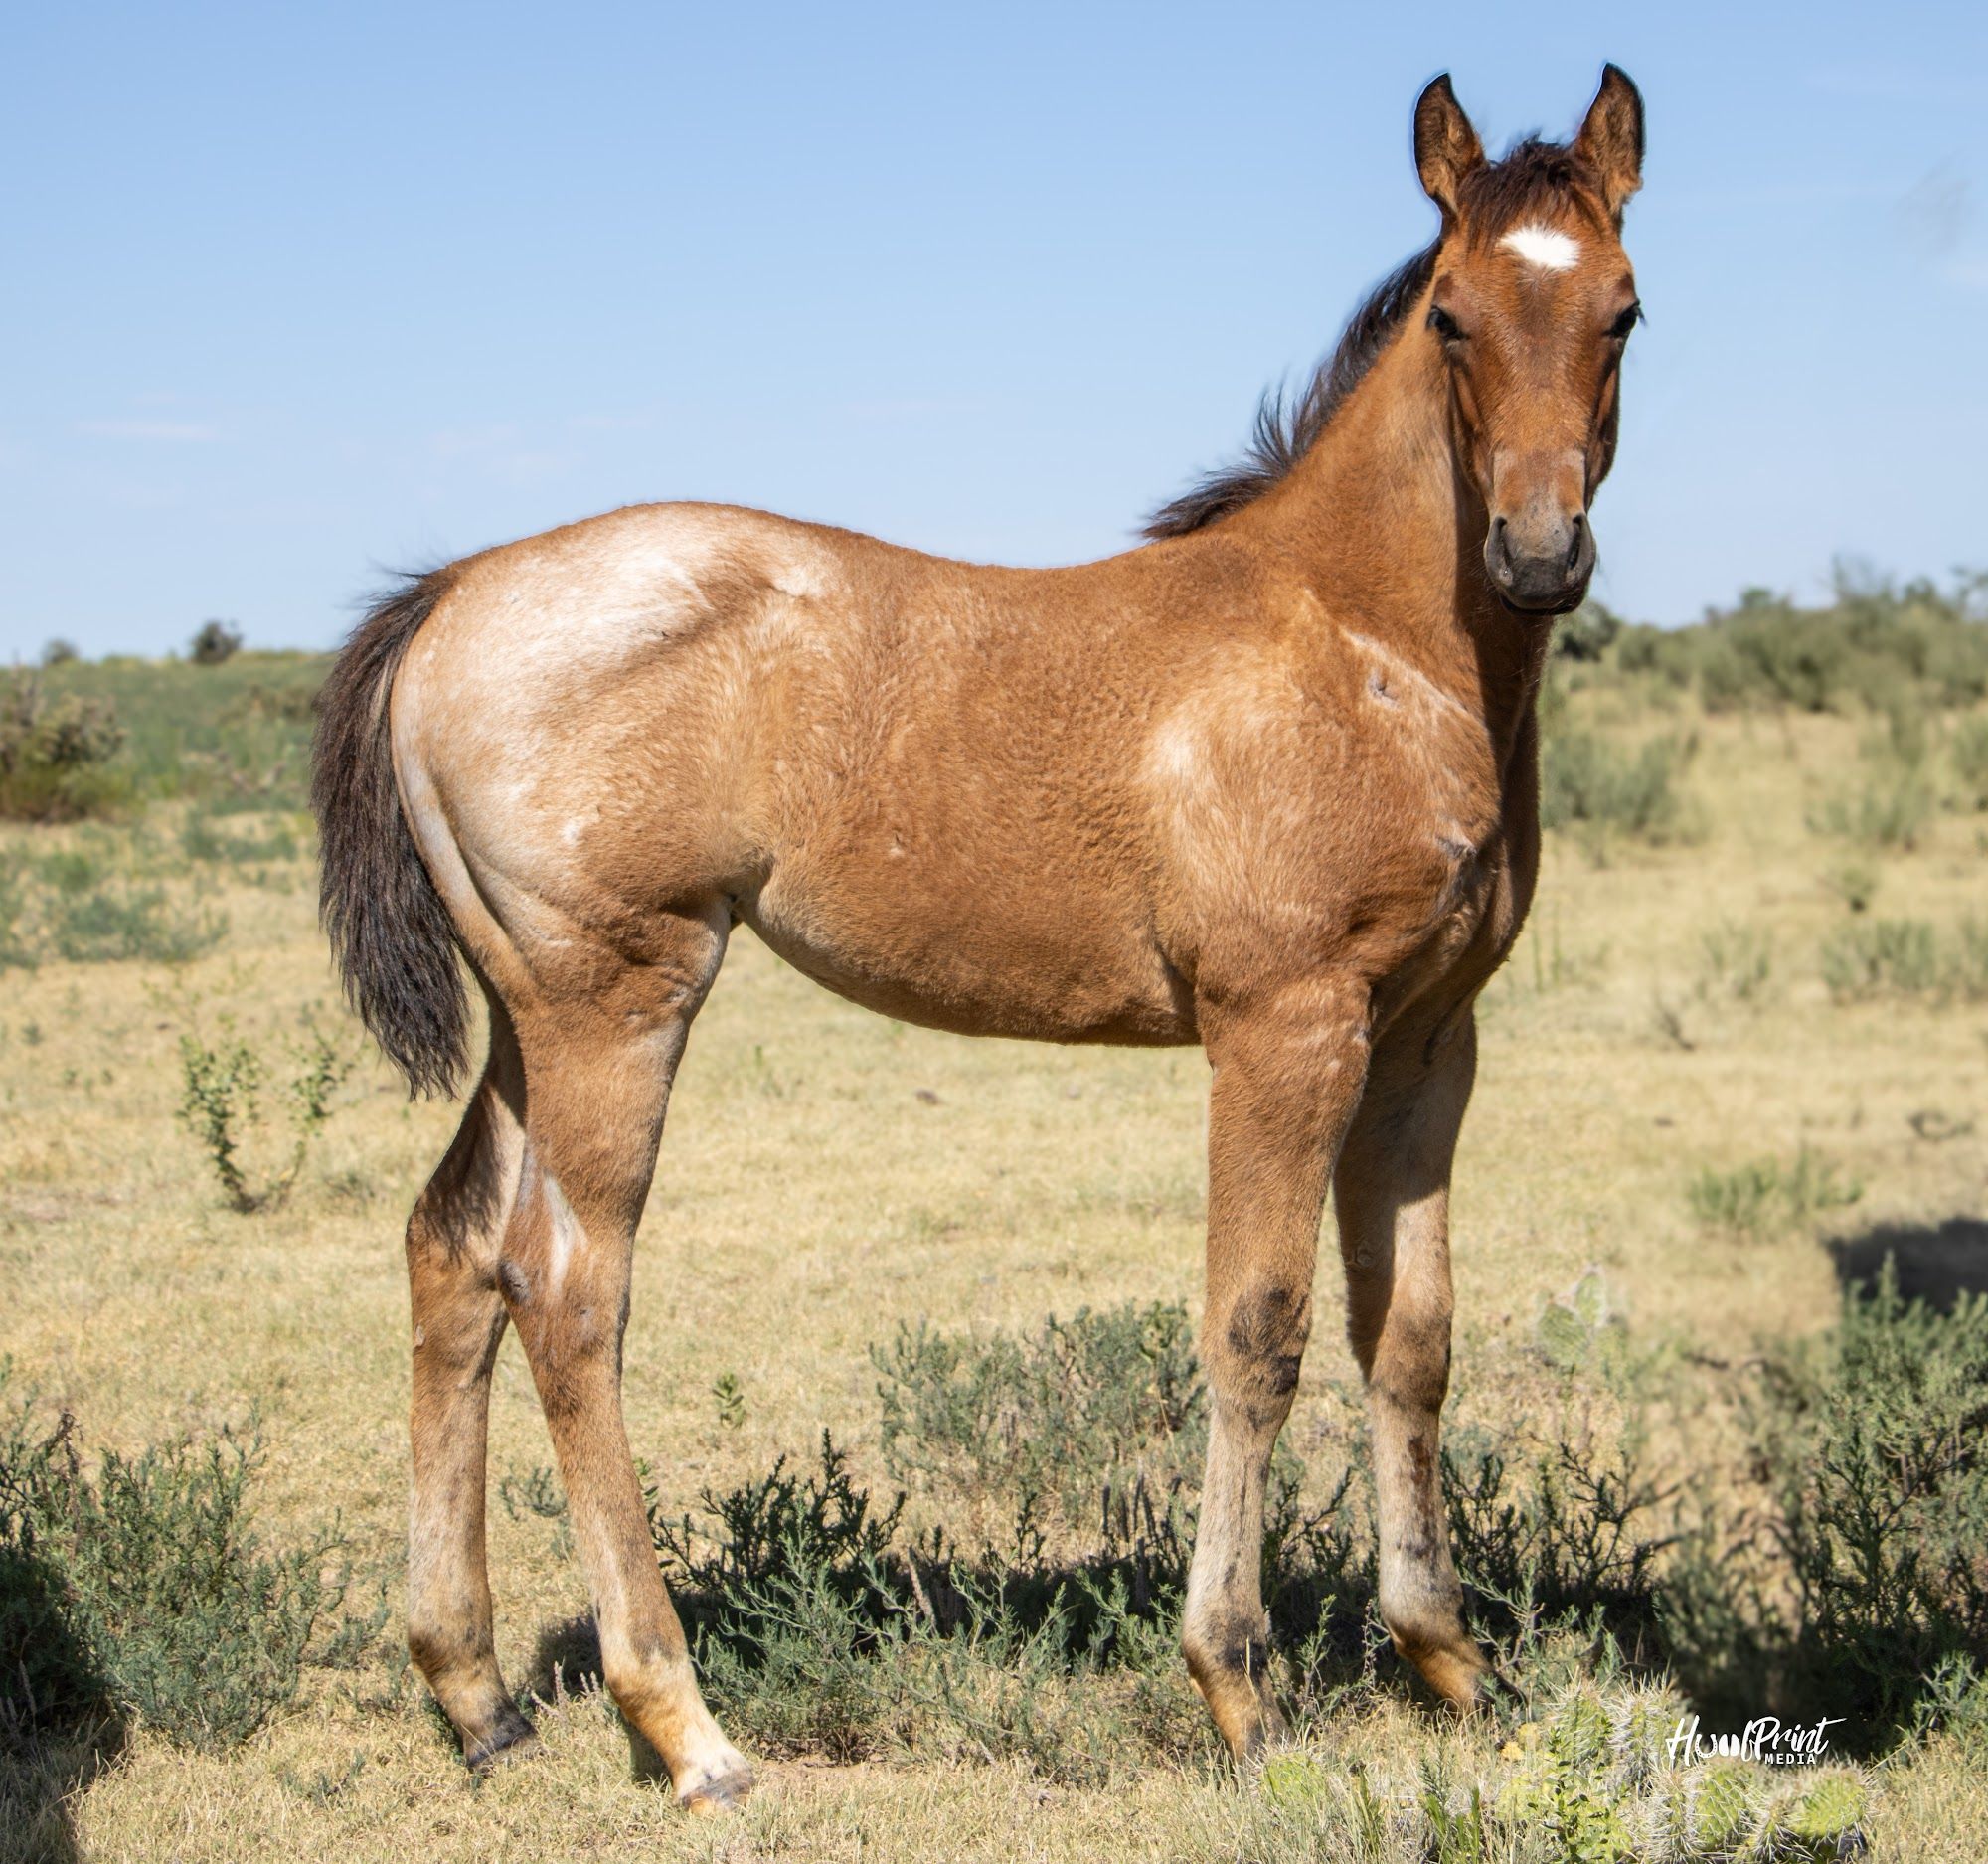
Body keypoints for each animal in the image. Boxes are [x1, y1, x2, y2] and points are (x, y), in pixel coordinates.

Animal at [311, 65, 1645, 1810]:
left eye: (1623, 310)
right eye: (1452, 317)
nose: (1537, 553)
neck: (1365, 639)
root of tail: (457, 593)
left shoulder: (1430, 1034)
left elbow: (1408, 1334)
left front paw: (1451, 1661)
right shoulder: (1284, 1024)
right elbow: (1258, 1326)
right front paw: (1241, 1687)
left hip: (534, 1016)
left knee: (453, 1248)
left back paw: (474, 1691)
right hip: (619, 999)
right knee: (569, 1286)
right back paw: (687, 1725)